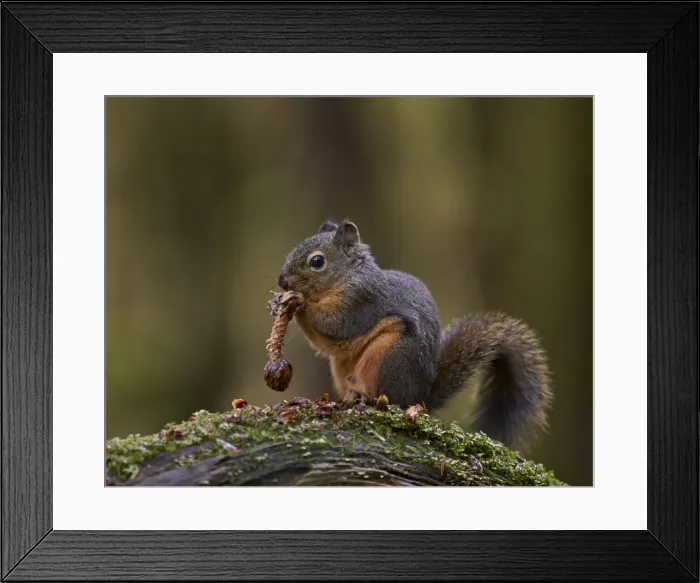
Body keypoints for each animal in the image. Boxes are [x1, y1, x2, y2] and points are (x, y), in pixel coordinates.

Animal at [269, 218, 554, 450]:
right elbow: (326, 342)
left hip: (392, 353)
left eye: (317, 261)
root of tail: (421, 396)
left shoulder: (360, 300)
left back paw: (367, 398)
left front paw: (298, 301)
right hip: (342, 368)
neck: (348, 275)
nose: (282, 281)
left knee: (391, 399)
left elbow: (336, 323)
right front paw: (276, 303)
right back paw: (350, 396)